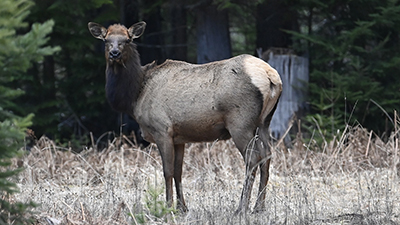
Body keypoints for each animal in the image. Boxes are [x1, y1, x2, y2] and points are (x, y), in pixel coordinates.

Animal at [88, 21, 282, 213]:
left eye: (127, 40)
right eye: (106, 40)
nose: (114, 53)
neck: (135, 96)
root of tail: (271, 76)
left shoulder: (162, 130)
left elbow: (167, 171)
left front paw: (167, 207)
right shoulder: (179, 137)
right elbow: (178, 171)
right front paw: (182, 207)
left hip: (240, 123)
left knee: (253, 159)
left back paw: (241, 208)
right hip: (264, 122)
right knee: (267, 155)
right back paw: (259, 207)